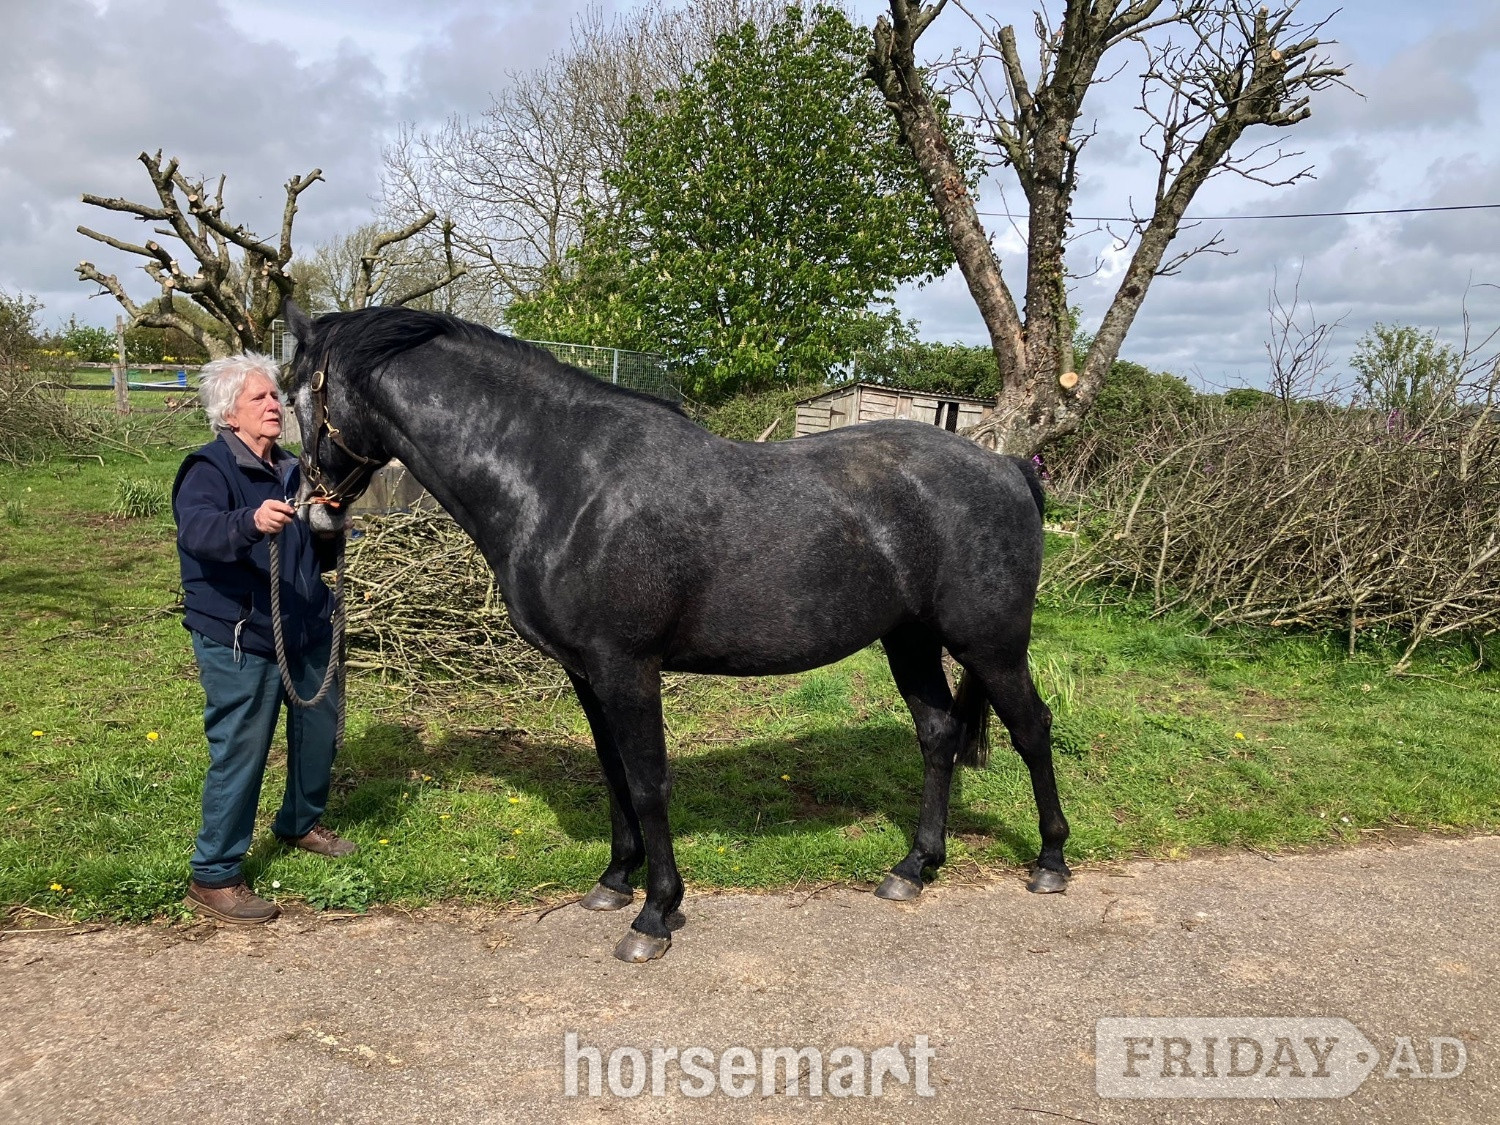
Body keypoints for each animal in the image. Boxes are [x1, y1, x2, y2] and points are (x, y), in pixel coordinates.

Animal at [279, 300, 1070, 962]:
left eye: (298, 396)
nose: (312, 513)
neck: (562, 479)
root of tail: (1008, 466)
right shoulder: (586, 671)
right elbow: (614, 773)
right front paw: (613, 879)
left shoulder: (627, 666)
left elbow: (650, 779)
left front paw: (655, 915)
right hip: (909, 638)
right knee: (937, 733)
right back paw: (915, 866)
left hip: (990, 644)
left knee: (1032, 729)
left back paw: (1050, 863)